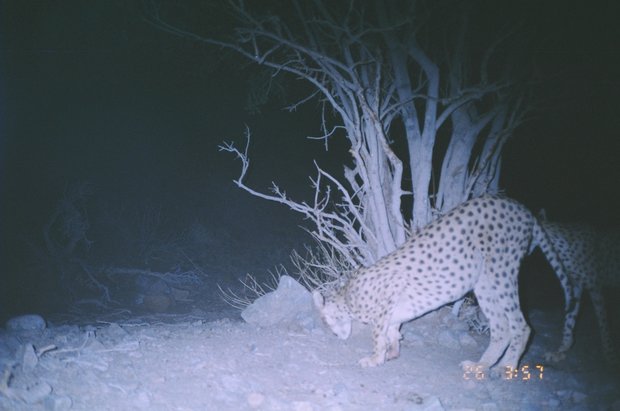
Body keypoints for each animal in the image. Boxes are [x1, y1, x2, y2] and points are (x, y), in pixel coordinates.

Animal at [312, 196, 572, 370]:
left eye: (326, 322)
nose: (337, 337)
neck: (347, 297)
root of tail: (520, 206)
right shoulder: (393, 310)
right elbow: (393, 330)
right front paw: (393, 351)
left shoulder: (387, 300)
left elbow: (378, 335)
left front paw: (375, 358)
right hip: (484, 283)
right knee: (502, 327)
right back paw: (480, 367)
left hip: (500, 273)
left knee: (521, 325)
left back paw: (504, 369)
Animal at [536, 220, 616, 366]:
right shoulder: (576, 286)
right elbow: (569, 320)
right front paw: (560, 350)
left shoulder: (595, 287)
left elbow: (603, 323)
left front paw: (610, 356)